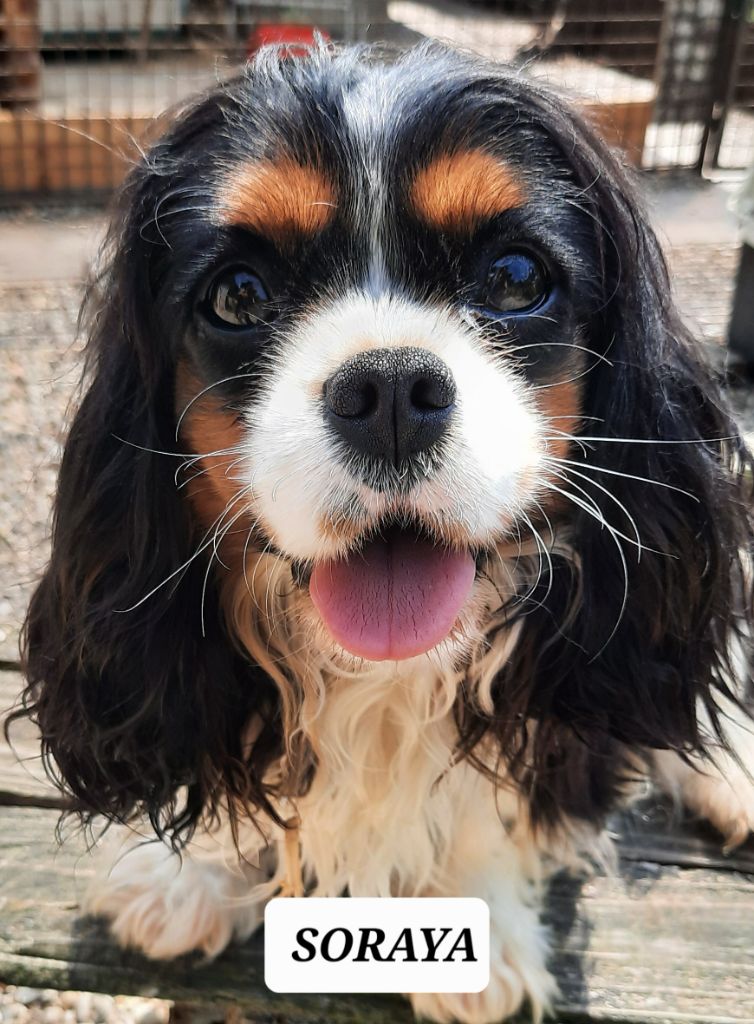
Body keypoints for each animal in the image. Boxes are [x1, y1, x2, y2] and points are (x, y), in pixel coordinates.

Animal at [16, 41, 754, 1024]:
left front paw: (477, 929)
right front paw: (192, 878)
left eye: (516, 278)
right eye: (238, 295)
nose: (392, 388)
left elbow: (493, 796)